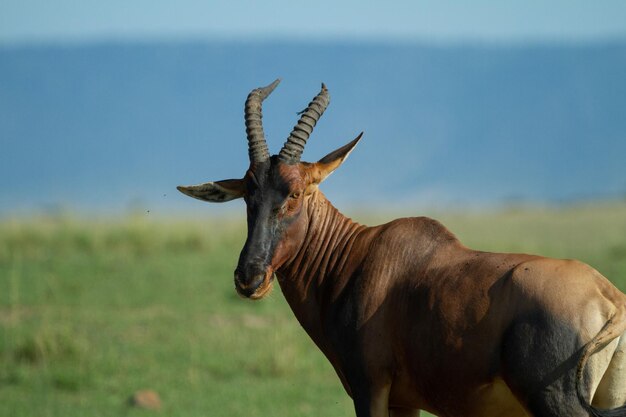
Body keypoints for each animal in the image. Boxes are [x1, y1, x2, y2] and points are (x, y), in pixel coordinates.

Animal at [177, 79, 624, 414]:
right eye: (247, 194)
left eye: (296, 193)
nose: (249, 278)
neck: (356, 257)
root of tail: (608, 298)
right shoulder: (405, 401)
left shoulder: (371, 387)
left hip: (555, 402)